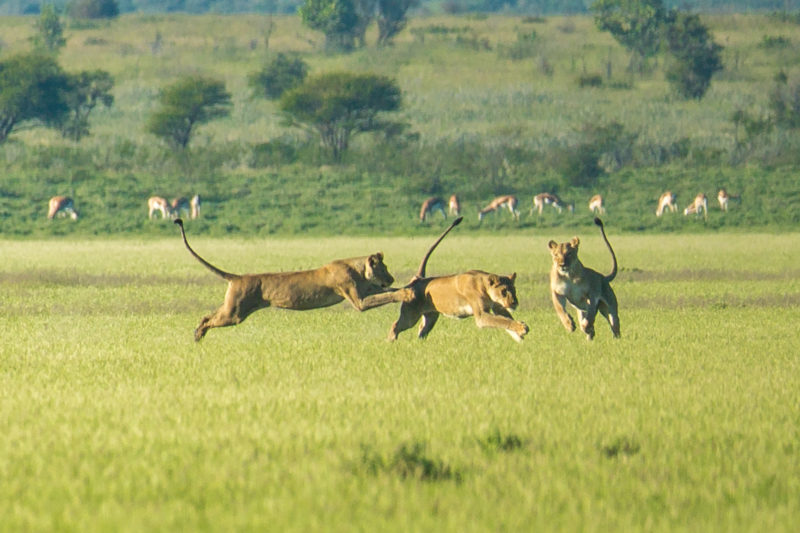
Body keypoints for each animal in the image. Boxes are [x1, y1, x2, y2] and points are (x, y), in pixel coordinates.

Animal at [364, 216, 528, 340]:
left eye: (514, 290)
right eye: (504, 291)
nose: (514, 303)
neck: (484, 286)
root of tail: (418, 278)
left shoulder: (498, 307)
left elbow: (505, 319)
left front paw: (518, 335)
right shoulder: (481, 315)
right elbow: (500, 321)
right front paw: (522, 329)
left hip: (431, 317)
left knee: (422, 329)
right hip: (410, 316)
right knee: (396, 326)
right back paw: (391, 341)